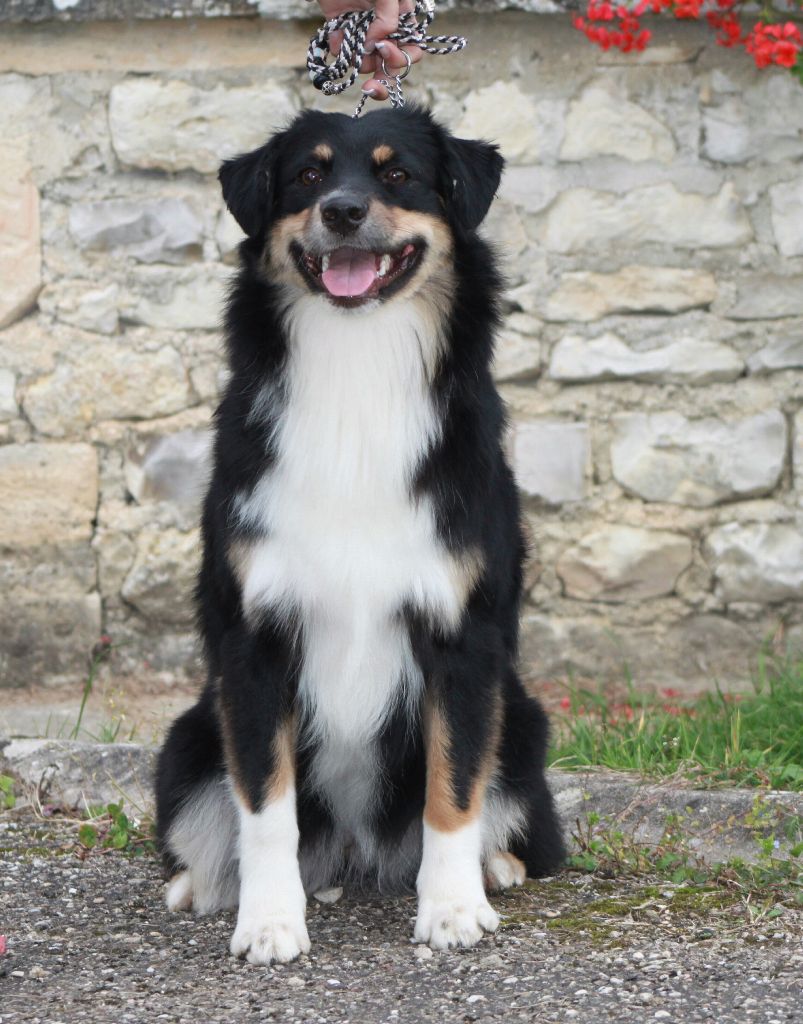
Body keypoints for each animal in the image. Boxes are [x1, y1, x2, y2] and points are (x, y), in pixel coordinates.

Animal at [153, 108, 561, 962]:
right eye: (307, 175)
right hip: (188, 737)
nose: (341, 211)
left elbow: (454, 786)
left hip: (522, 722)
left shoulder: (461, 637)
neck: (356, 365)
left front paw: (451, 909)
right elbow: (263, 803)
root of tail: (350, 852)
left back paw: (495, 868)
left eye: (397, 173)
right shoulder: (254, 639)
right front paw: (269, 922)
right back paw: (201, 885)